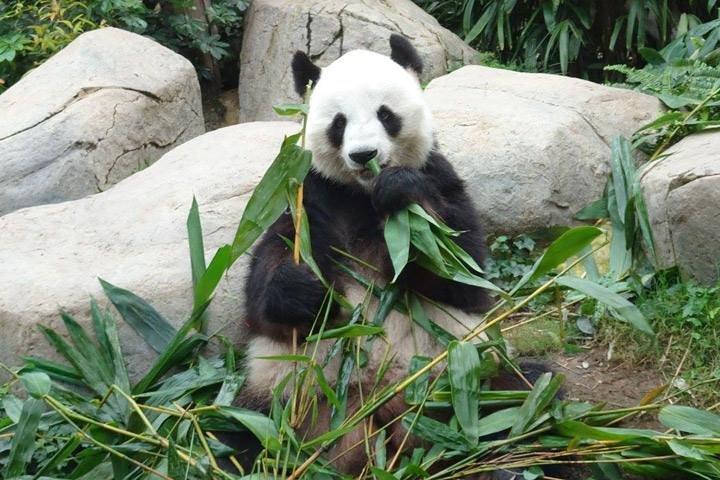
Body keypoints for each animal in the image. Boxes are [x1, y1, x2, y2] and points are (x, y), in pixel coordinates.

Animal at [238, 35, 516, 476]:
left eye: (386, 115)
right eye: (339, 123)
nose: (363, 155)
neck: (360, 194)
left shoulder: (440, 177)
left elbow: (461, 271)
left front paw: (400, 192)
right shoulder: (309, 199)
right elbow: (265, 291)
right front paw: (301, 287)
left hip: (468, 376)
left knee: (514, 401)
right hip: (282, 395)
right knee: (241, 435)